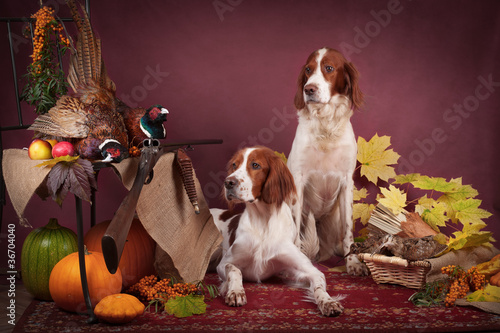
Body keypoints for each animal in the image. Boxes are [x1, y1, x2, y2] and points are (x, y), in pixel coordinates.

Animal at [209, 146, 346, 316]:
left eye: (255, 165)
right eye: (234, 165)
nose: (228, 182)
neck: (263, 221)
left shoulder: (304, 270)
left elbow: (319, 285)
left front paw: (328, 302)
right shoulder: (224, 263)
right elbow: (234, 270)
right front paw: (235, 292)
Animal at [286, 46, 368, 274]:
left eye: (329, 68)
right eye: (308, 69)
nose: (308, 89)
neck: (326, 126)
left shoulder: (347, 182)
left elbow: (349, 231)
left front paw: (353, 264)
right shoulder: (298, 180)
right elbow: (295, 234)